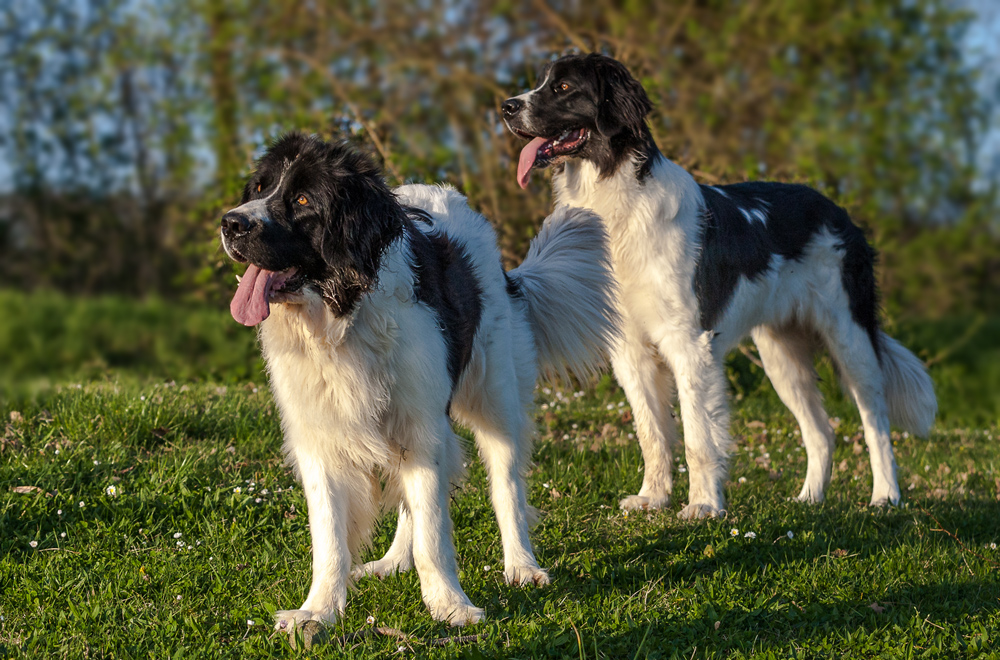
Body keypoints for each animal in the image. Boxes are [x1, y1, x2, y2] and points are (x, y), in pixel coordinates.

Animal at [223, 131, 620, 628]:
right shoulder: (321, 436)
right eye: (259, 189)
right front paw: (318, 611)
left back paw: (522, 566)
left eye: (301, 200)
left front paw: (450, 606)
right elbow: (330, 537)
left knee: (506, 486)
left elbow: (434, 528)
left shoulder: (422, 426)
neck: (342, 320)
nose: (230, 223)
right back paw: (395, 561)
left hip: (495, 397)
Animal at [504, 54, 932, 520]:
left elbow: (698, 437)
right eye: (543, 82)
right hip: (781, 356)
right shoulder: (630, 351)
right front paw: (653, 498)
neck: (619, 199)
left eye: (563, 87)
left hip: (849, 338)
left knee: (876, 422)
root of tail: (839, 212)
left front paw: (704, 505)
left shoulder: (689, 344)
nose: (506, 107)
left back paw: (885, 496)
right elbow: (652, 433)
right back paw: (809, 498)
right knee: (822, 431)